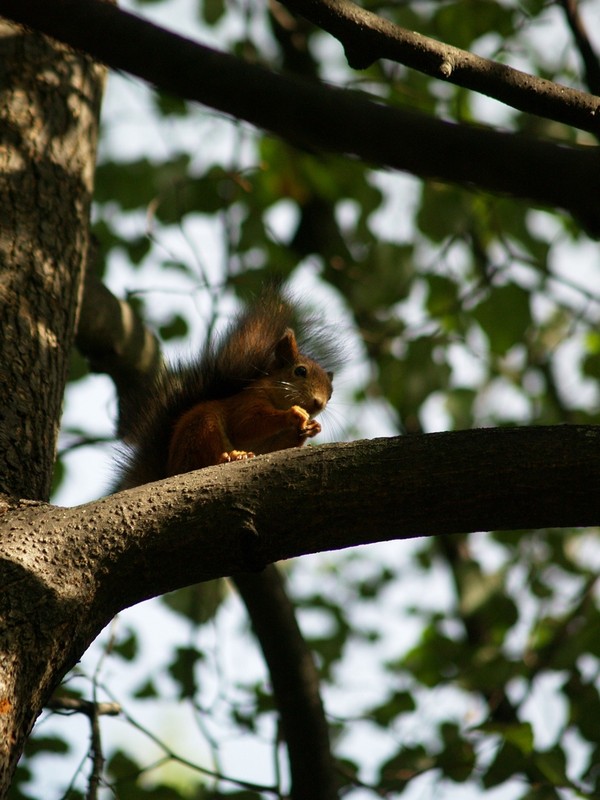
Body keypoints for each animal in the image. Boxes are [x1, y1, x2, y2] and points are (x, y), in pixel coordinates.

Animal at [115, 288, 336, 488]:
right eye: (300, 371)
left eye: (331, 393)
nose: (319, 403)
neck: (277, 399)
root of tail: (171, 471)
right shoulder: (248, 401)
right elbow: (247, 424)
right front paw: (293, 414)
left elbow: (276, 447)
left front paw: (311, 428)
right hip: (201, 428)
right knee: (200, 459)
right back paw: (228, 457)